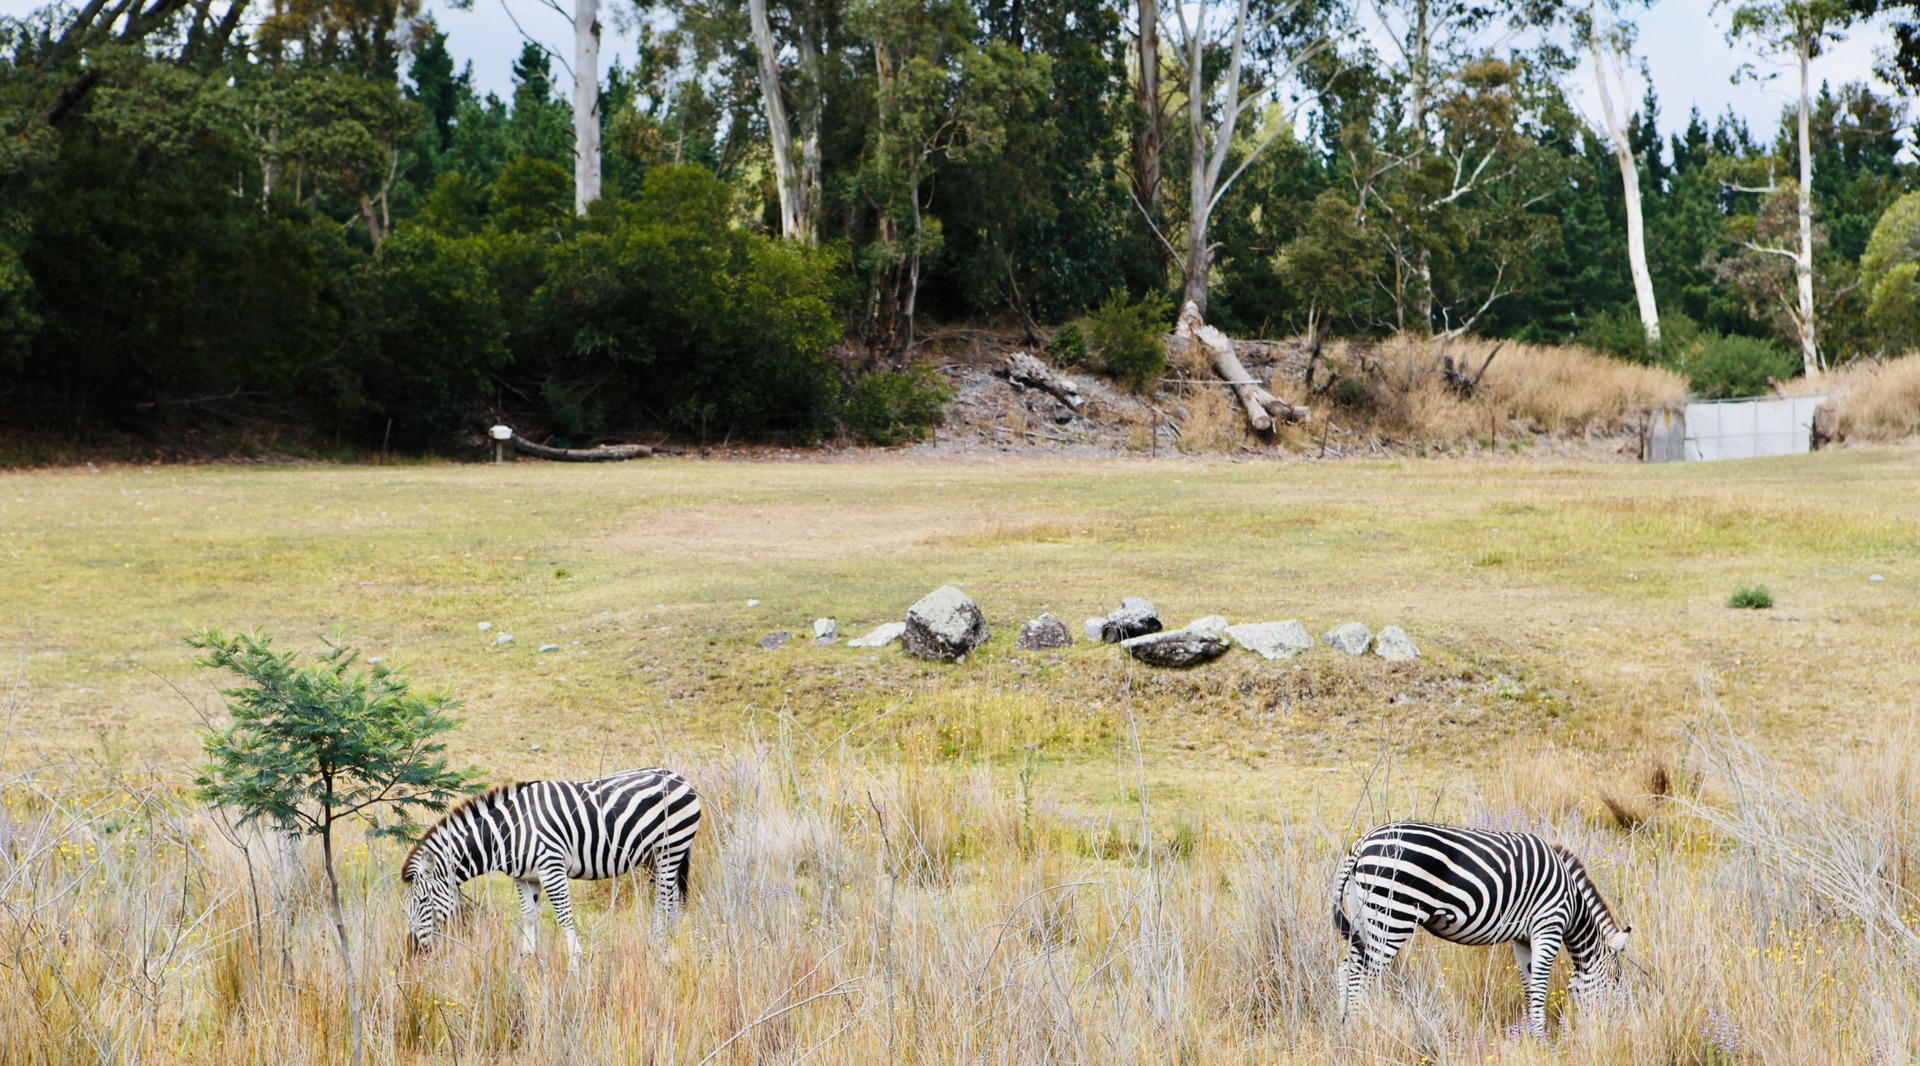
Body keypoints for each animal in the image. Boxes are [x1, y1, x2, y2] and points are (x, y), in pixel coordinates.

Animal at [401, 768, 702, 968]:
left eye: (423, 900)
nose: (413, 948)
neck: (508, 834)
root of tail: (678, 776)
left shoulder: (551, 867)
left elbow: (564, 915)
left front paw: (575, 962)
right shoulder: (525, 877)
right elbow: (529, 915)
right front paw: (528, 959)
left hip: (670, 846)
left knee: (662, 897)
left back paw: (657, 943)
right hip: (655, 856)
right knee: (672, 894)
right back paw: (671, 940)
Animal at [1336, 825, 1635, 1037]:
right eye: (1615, 981)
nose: (1617, 1028)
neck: (1572, 903)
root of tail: (1362, 843)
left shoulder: (1523, 939)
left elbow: (1529, 986)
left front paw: (1530, 1034)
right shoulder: (1547, 927)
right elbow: (1539, 986)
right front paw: (1541, 1038)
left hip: (1364, 918)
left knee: (1346, 968)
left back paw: (1345, 1026)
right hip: (1392, 917)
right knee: (1360, 973)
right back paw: (1359, 1025)